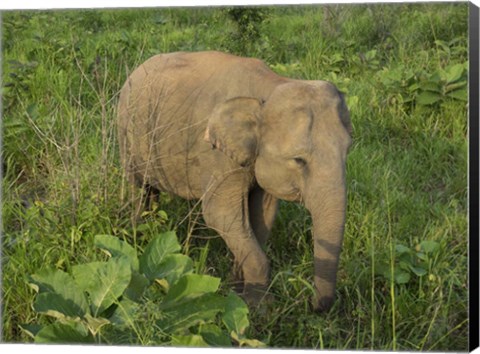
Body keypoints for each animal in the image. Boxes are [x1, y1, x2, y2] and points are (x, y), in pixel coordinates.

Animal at [117, 51, 352, 312]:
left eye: (348, 151)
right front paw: (260, 308)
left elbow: (262, 215)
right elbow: (219, 214)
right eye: (299, 160)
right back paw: (138, 235)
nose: (314, 305)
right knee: (138, 188)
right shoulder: (217, 155)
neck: (271, 86)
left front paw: (238, 290)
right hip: (127, 131)